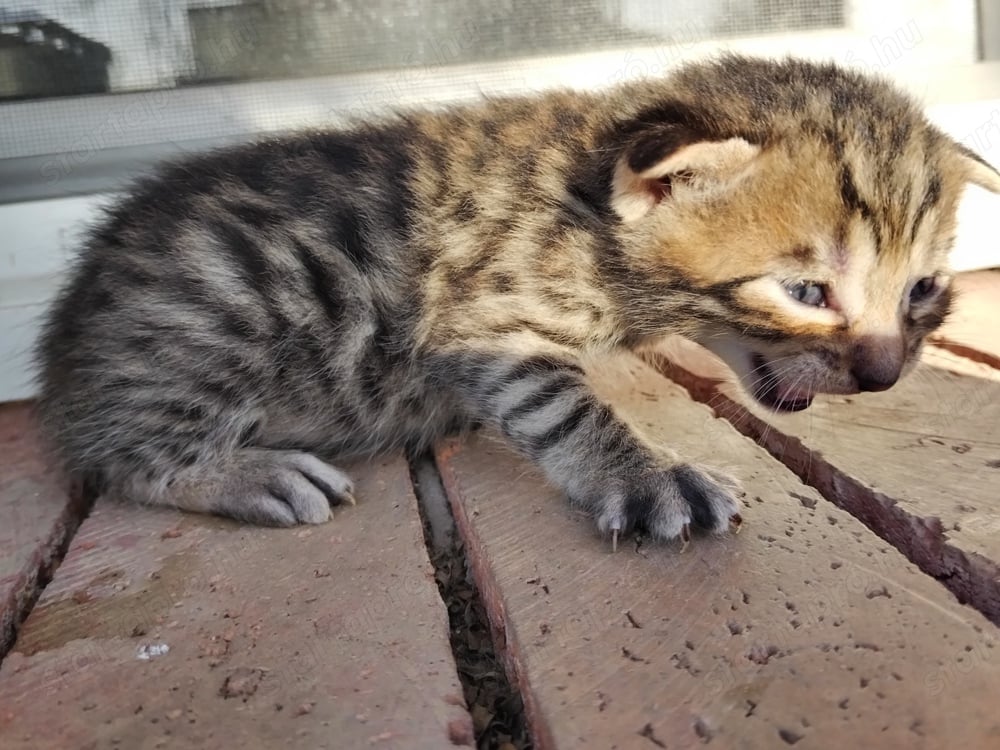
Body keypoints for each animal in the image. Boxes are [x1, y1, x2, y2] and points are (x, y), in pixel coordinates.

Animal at [35, 54, 996, 548]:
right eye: (805, 292)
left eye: (922, 290)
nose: (883, 374)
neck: (584, 204)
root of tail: (63, 345)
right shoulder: (478, 317)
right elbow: (564, 405)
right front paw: (648, 475)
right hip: (224, 318)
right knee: (122, 460)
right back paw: (248, 472)